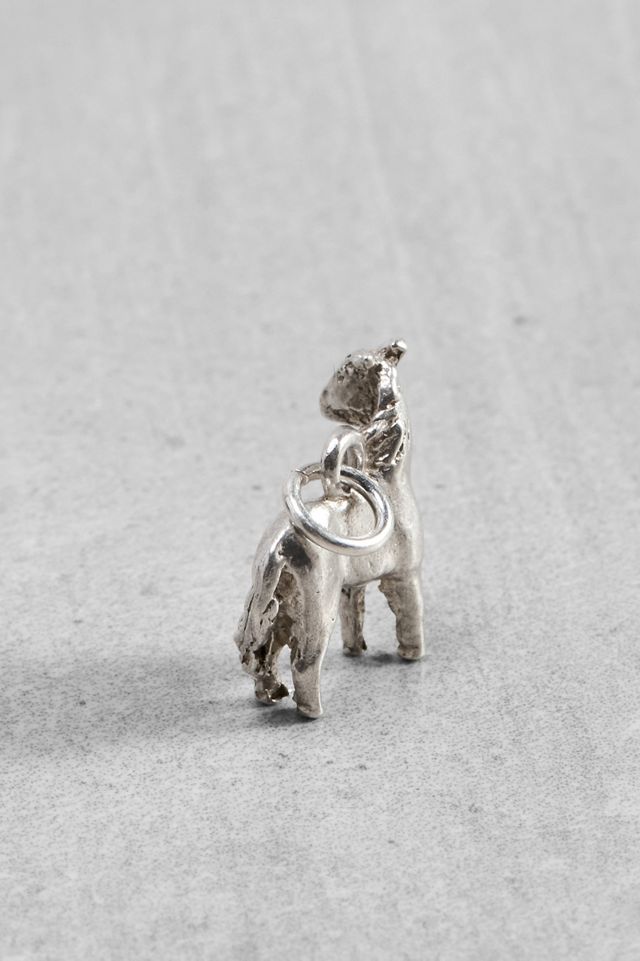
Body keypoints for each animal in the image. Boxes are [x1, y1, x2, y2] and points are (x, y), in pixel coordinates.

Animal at [234, 339, 424, 718]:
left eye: (345, 372)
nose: (323, 400)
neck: (388, 480)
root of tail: (282, 540)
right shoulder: (405, 575)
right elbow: (411, 614)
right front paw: (413, 654)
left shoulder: (352, 587)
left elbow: (355, 618)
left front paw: (355, 650)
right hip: (316, 607)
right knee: (304, 661)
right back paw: (311, 711)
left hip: (276, 600)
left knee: (262, 652)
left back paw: (270, 694)